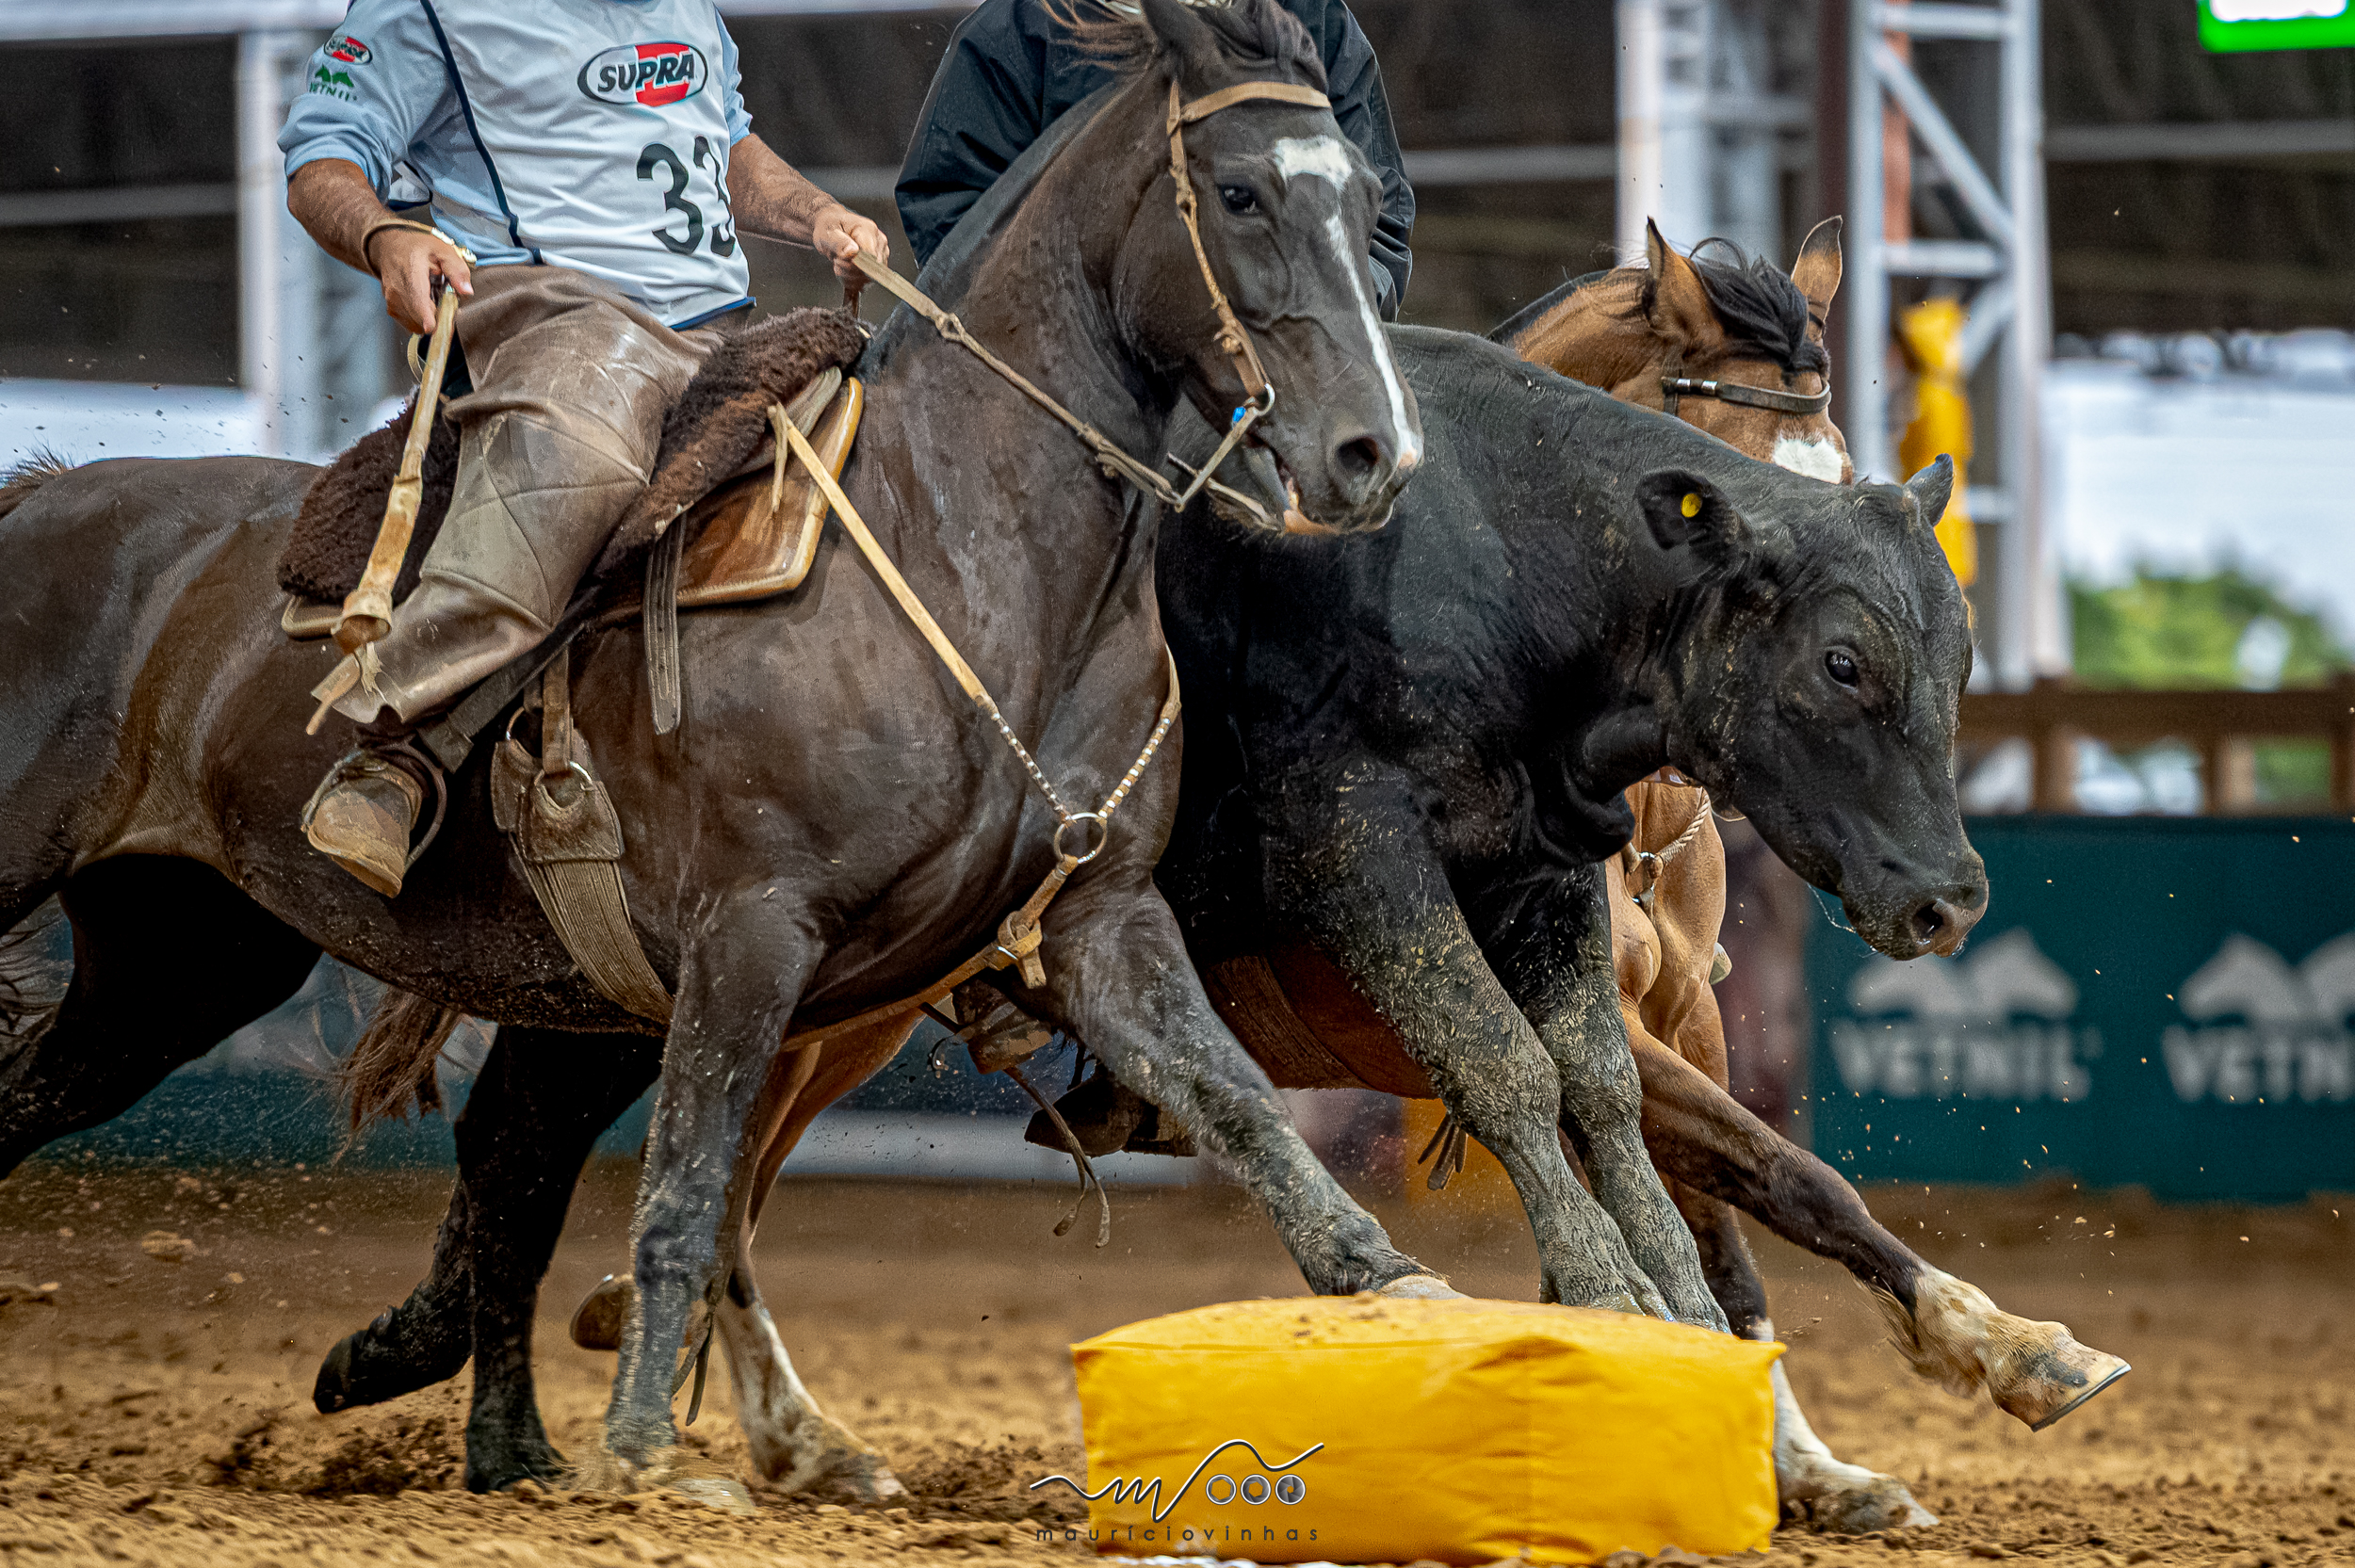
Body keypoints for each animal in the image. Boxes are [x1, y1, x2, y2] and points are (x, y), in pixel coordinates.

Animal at [0, 0, 1430, 1492]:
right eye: (1241, 193)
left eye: (1366, 197)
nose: (1370, 452)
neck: (961, 542)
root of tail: (47, 500)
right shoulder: (753, 931)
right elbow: (687, 1194)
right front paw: (641, 1450)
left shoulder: (1099, 919)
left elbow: (1246, 1111)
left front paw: (1403, 1294)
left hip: (185, 962)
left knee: (449, 1148)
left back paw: (512, 1446)